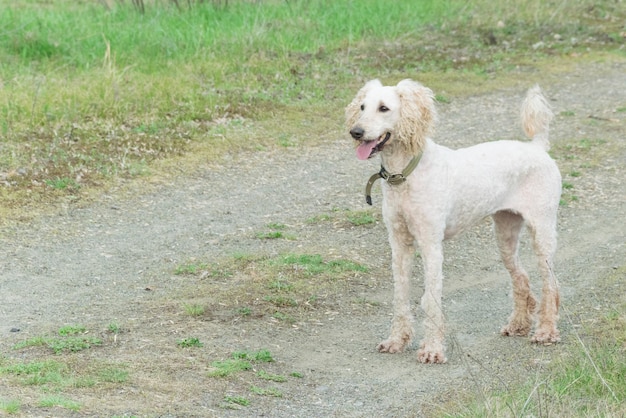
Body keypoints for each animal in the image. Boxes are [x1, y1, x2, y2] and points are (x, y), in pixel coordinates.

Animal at [346, 81, 560, 362]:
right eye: (362, 107)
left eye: (384, 108)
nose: (355, 132)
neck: (406, 173)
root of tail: (538, 147)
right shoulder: (399, 243)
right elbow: (400, 295)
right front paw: (396, 340)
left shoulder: (431, 245)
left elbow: (430, 299)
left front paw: (432, 349)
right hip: (505, 231)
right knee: (521, 278)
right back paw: (518, 325)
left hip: (542, 228)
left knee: (551, 283)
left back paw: (546, 331)